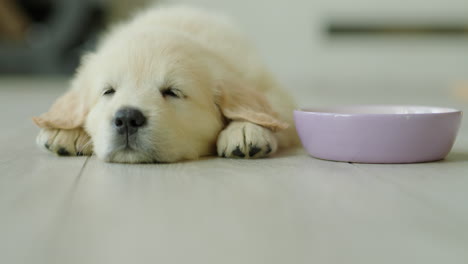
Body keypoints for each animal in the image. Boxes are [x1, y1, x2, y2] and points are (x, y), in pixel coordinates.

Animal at [33, 5, 298, 163]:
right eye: (108, 91)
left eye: (172, 92)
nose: (127, 118)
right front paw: (64, 132)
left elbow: (270, 112)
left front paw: (244, 130)